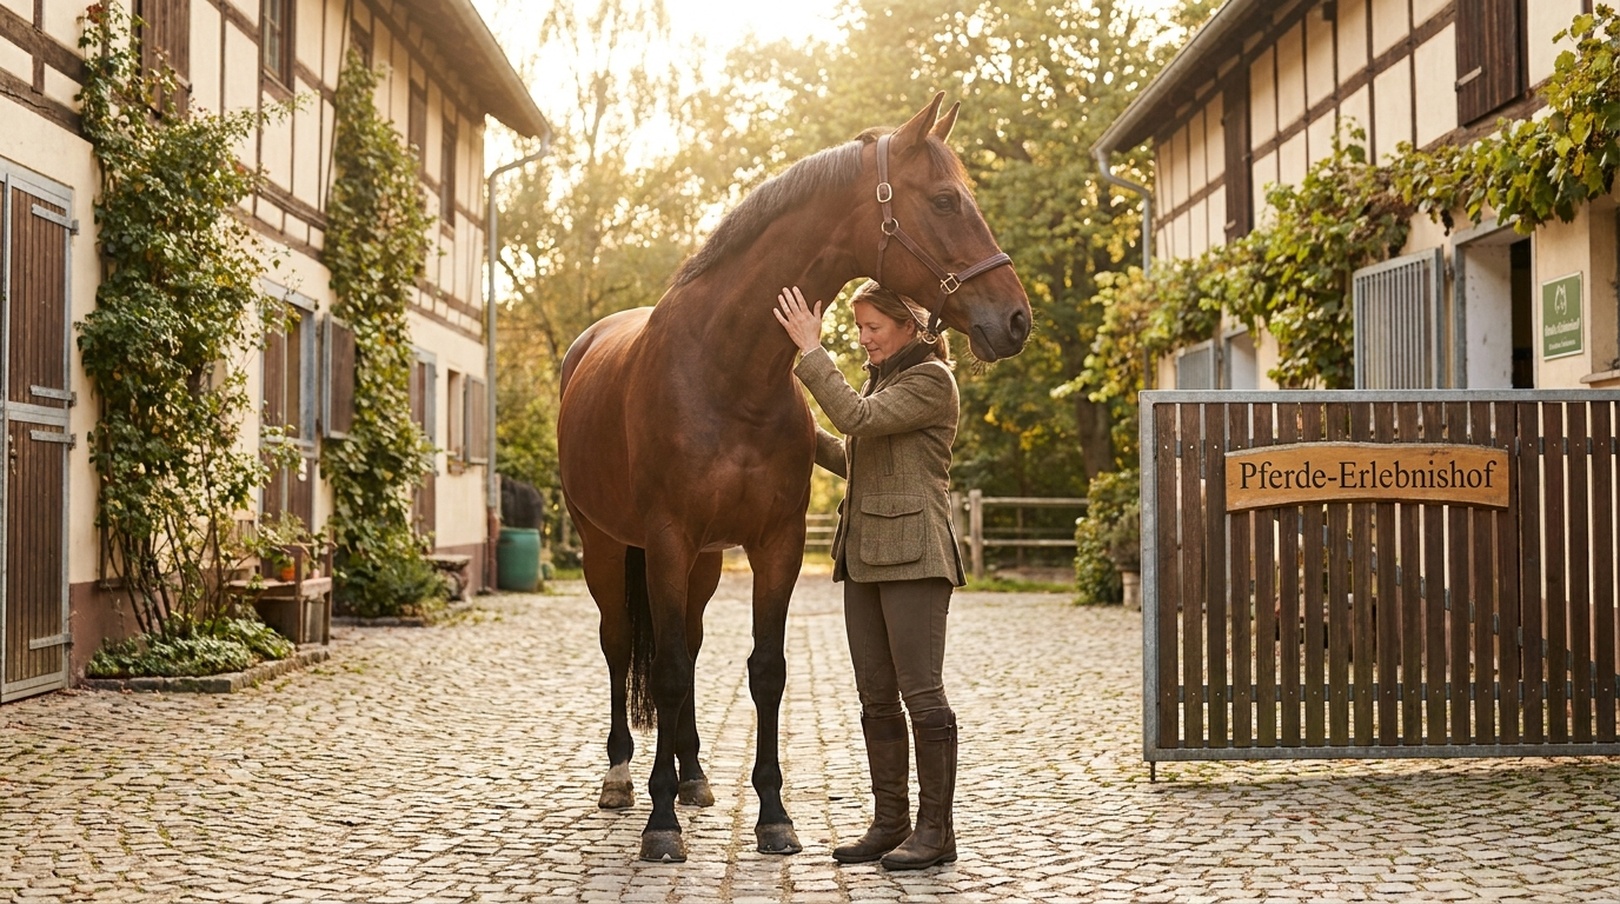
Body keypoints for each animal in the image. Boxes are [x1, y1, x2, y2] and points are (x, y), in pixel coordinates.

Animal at [555, 93, 1031, 863]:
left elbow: (764, 671)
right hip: (606, 545)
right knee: (622, 644)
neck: (726, 370)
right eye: (944, 200)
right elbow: (663, 669)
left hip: (704, 562)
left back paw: (692, 775)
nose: (1015, 319)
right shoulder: (665, 541)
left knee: (689, 643)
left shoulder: (772, 543)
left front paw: (772, 815)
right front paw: (661, 826)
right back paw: (624, 779)